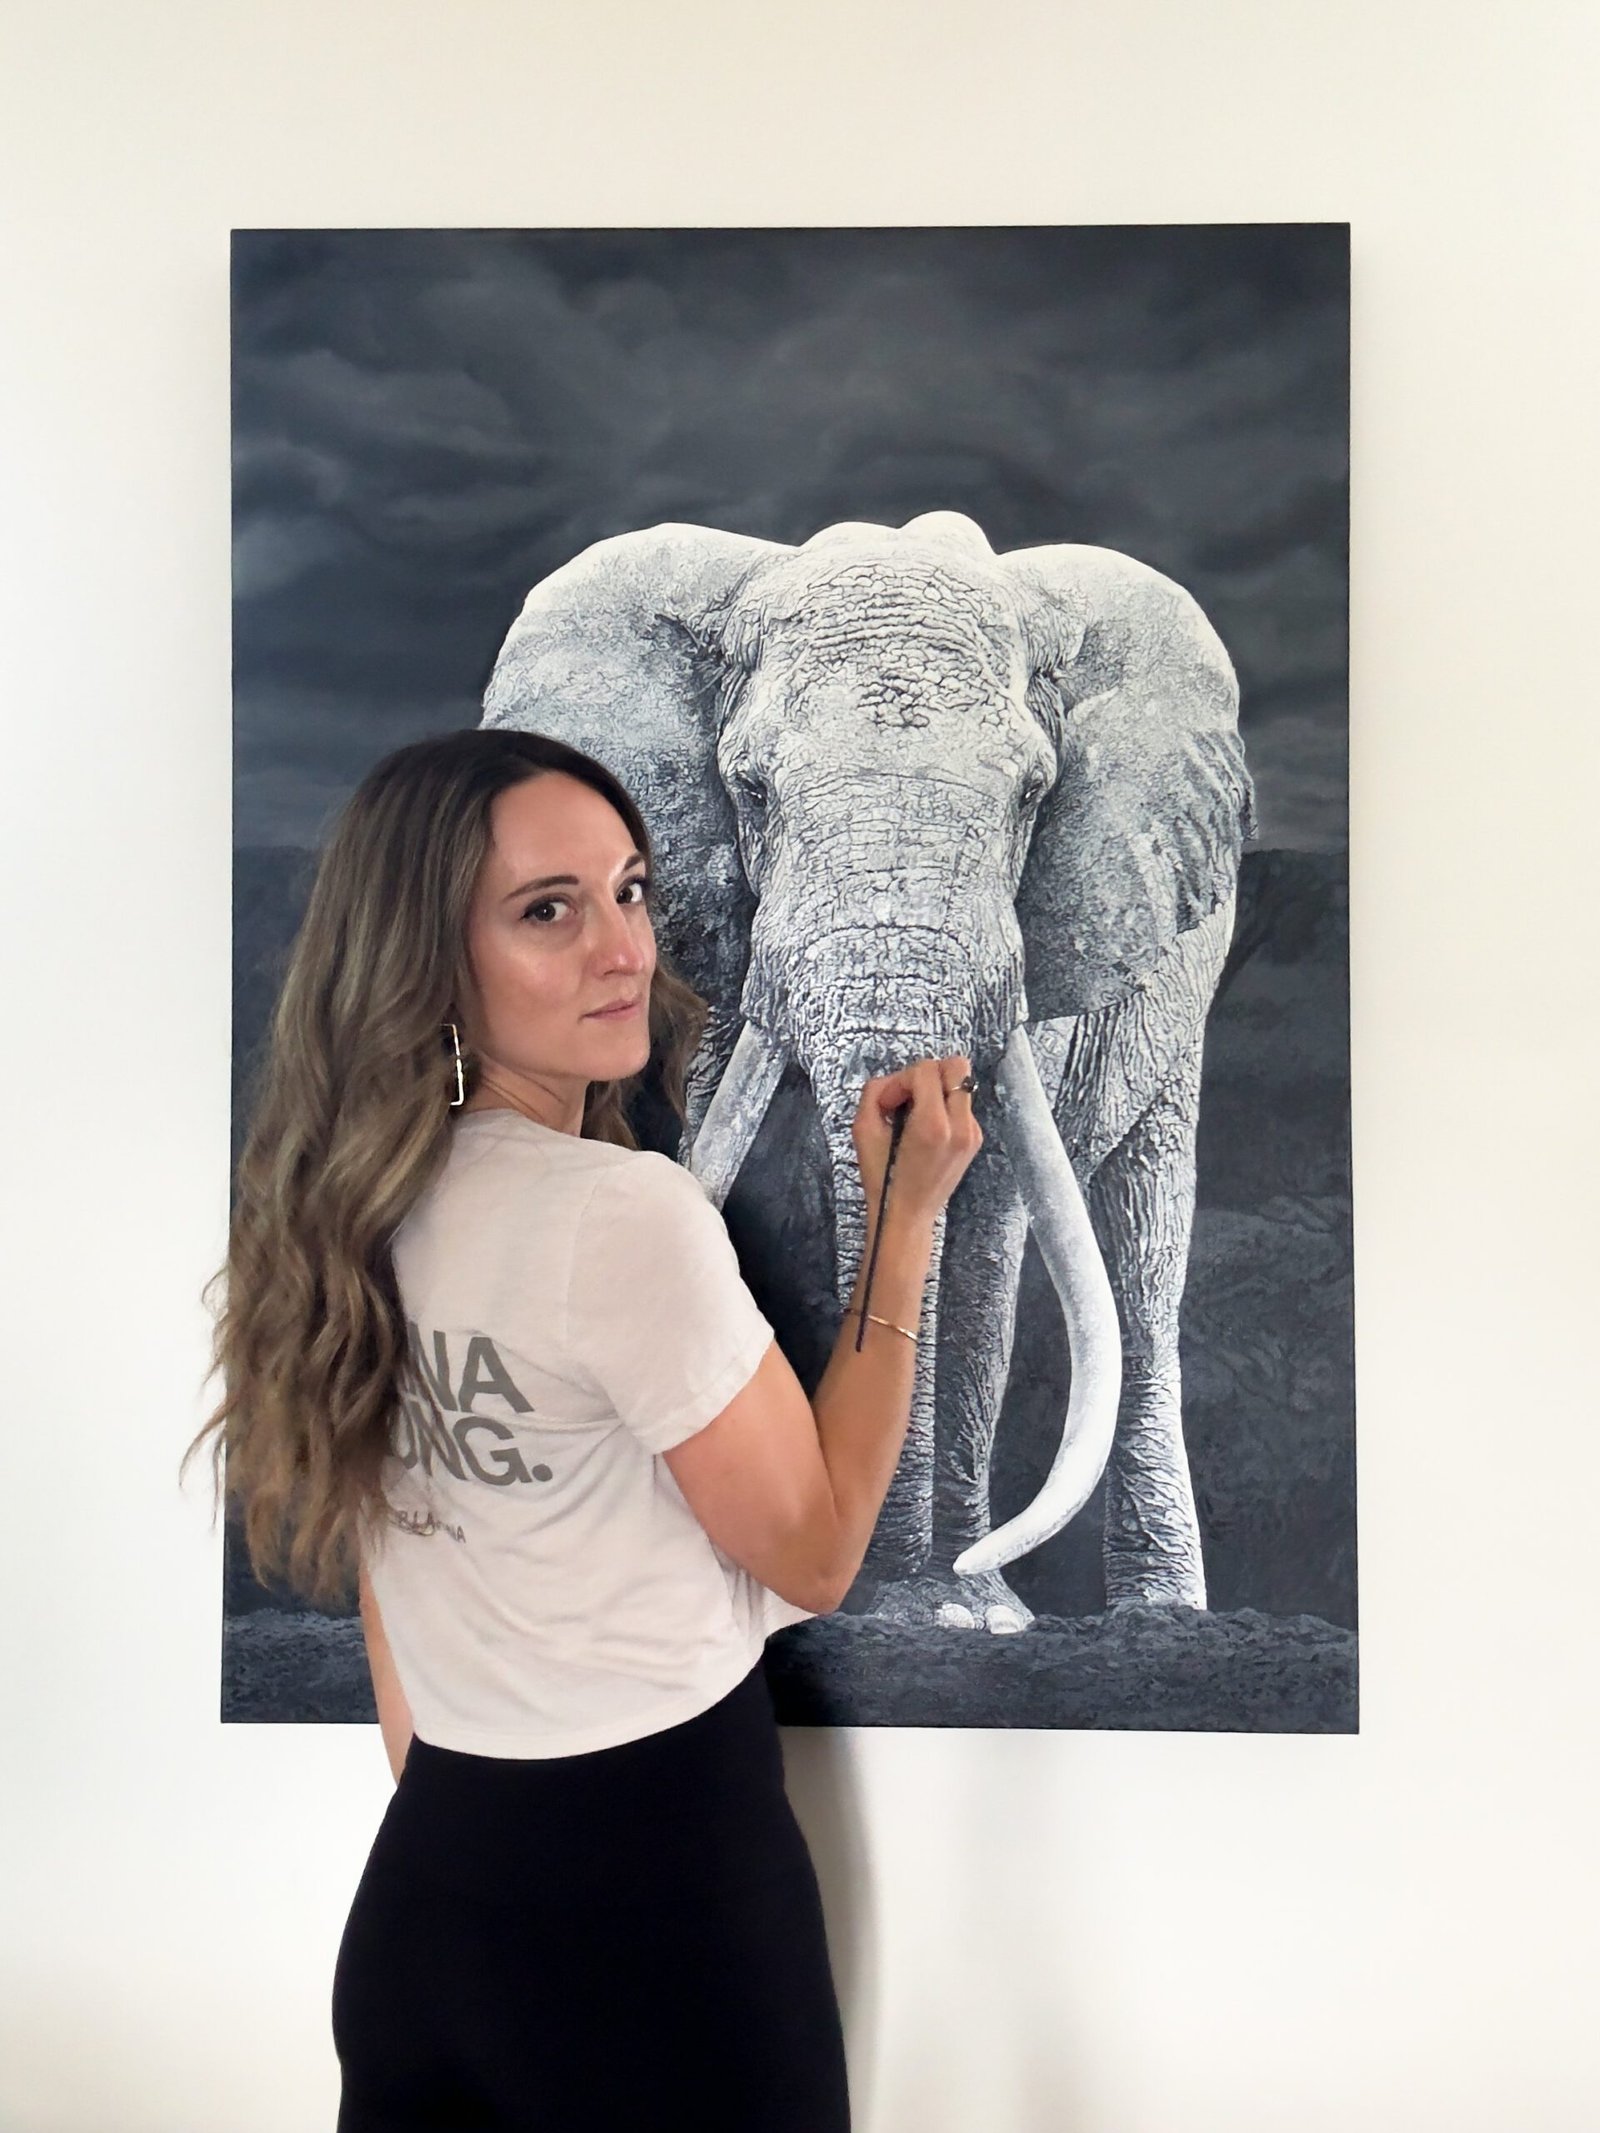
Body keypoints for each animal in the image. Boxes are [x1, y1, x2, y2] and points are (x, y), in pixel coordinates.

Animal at [480, 510, 1255, 1634]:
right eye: (751, 789)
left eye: (1034, 795)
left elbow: (985, 1233)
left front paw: (960, 1614)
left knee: (1145, 1251)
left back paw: (1161, 1620)